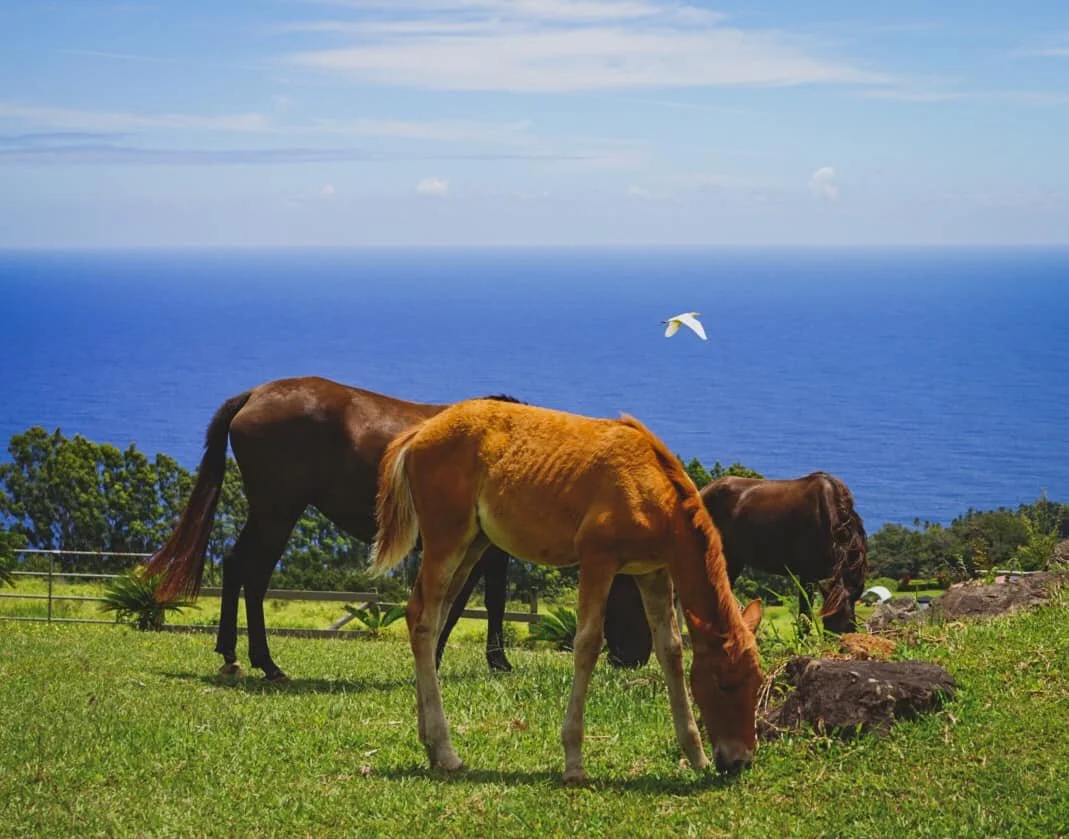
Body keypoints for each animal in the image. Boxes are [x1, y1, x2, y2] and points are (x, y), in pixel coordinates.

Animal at [145, 376, 517, 681]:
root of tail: (253, 395)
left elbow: (481, 601)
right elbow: (466, 603)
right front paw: (478, 661)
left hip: (267, 514)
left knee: (235, 564)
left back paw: (231, 655)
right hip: (278, 514)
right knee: (255, 576)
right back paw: (267, 663)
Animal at [371, 399, 763, 783]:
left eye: (757, 682)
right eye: (724, 683)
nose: (739, 761)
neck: (652, 486)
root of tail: (421, 432)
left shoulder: (653, 572)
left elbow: (671, 650)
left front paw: (695, 755)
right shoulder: (597, 560)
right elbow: (587, 644)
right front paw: (574, 763)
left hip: (473, 544)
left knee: (428, 616)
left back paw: (432, 748)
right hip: (446, 538)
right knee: (423, 620)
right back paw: (446, 750)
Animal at [700, 472, 868, 633]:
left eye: (850, 626)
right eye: (828, 623)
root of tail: (703, 491)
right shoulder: (807, 575)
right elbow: (804, 618)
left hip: (734, 560)